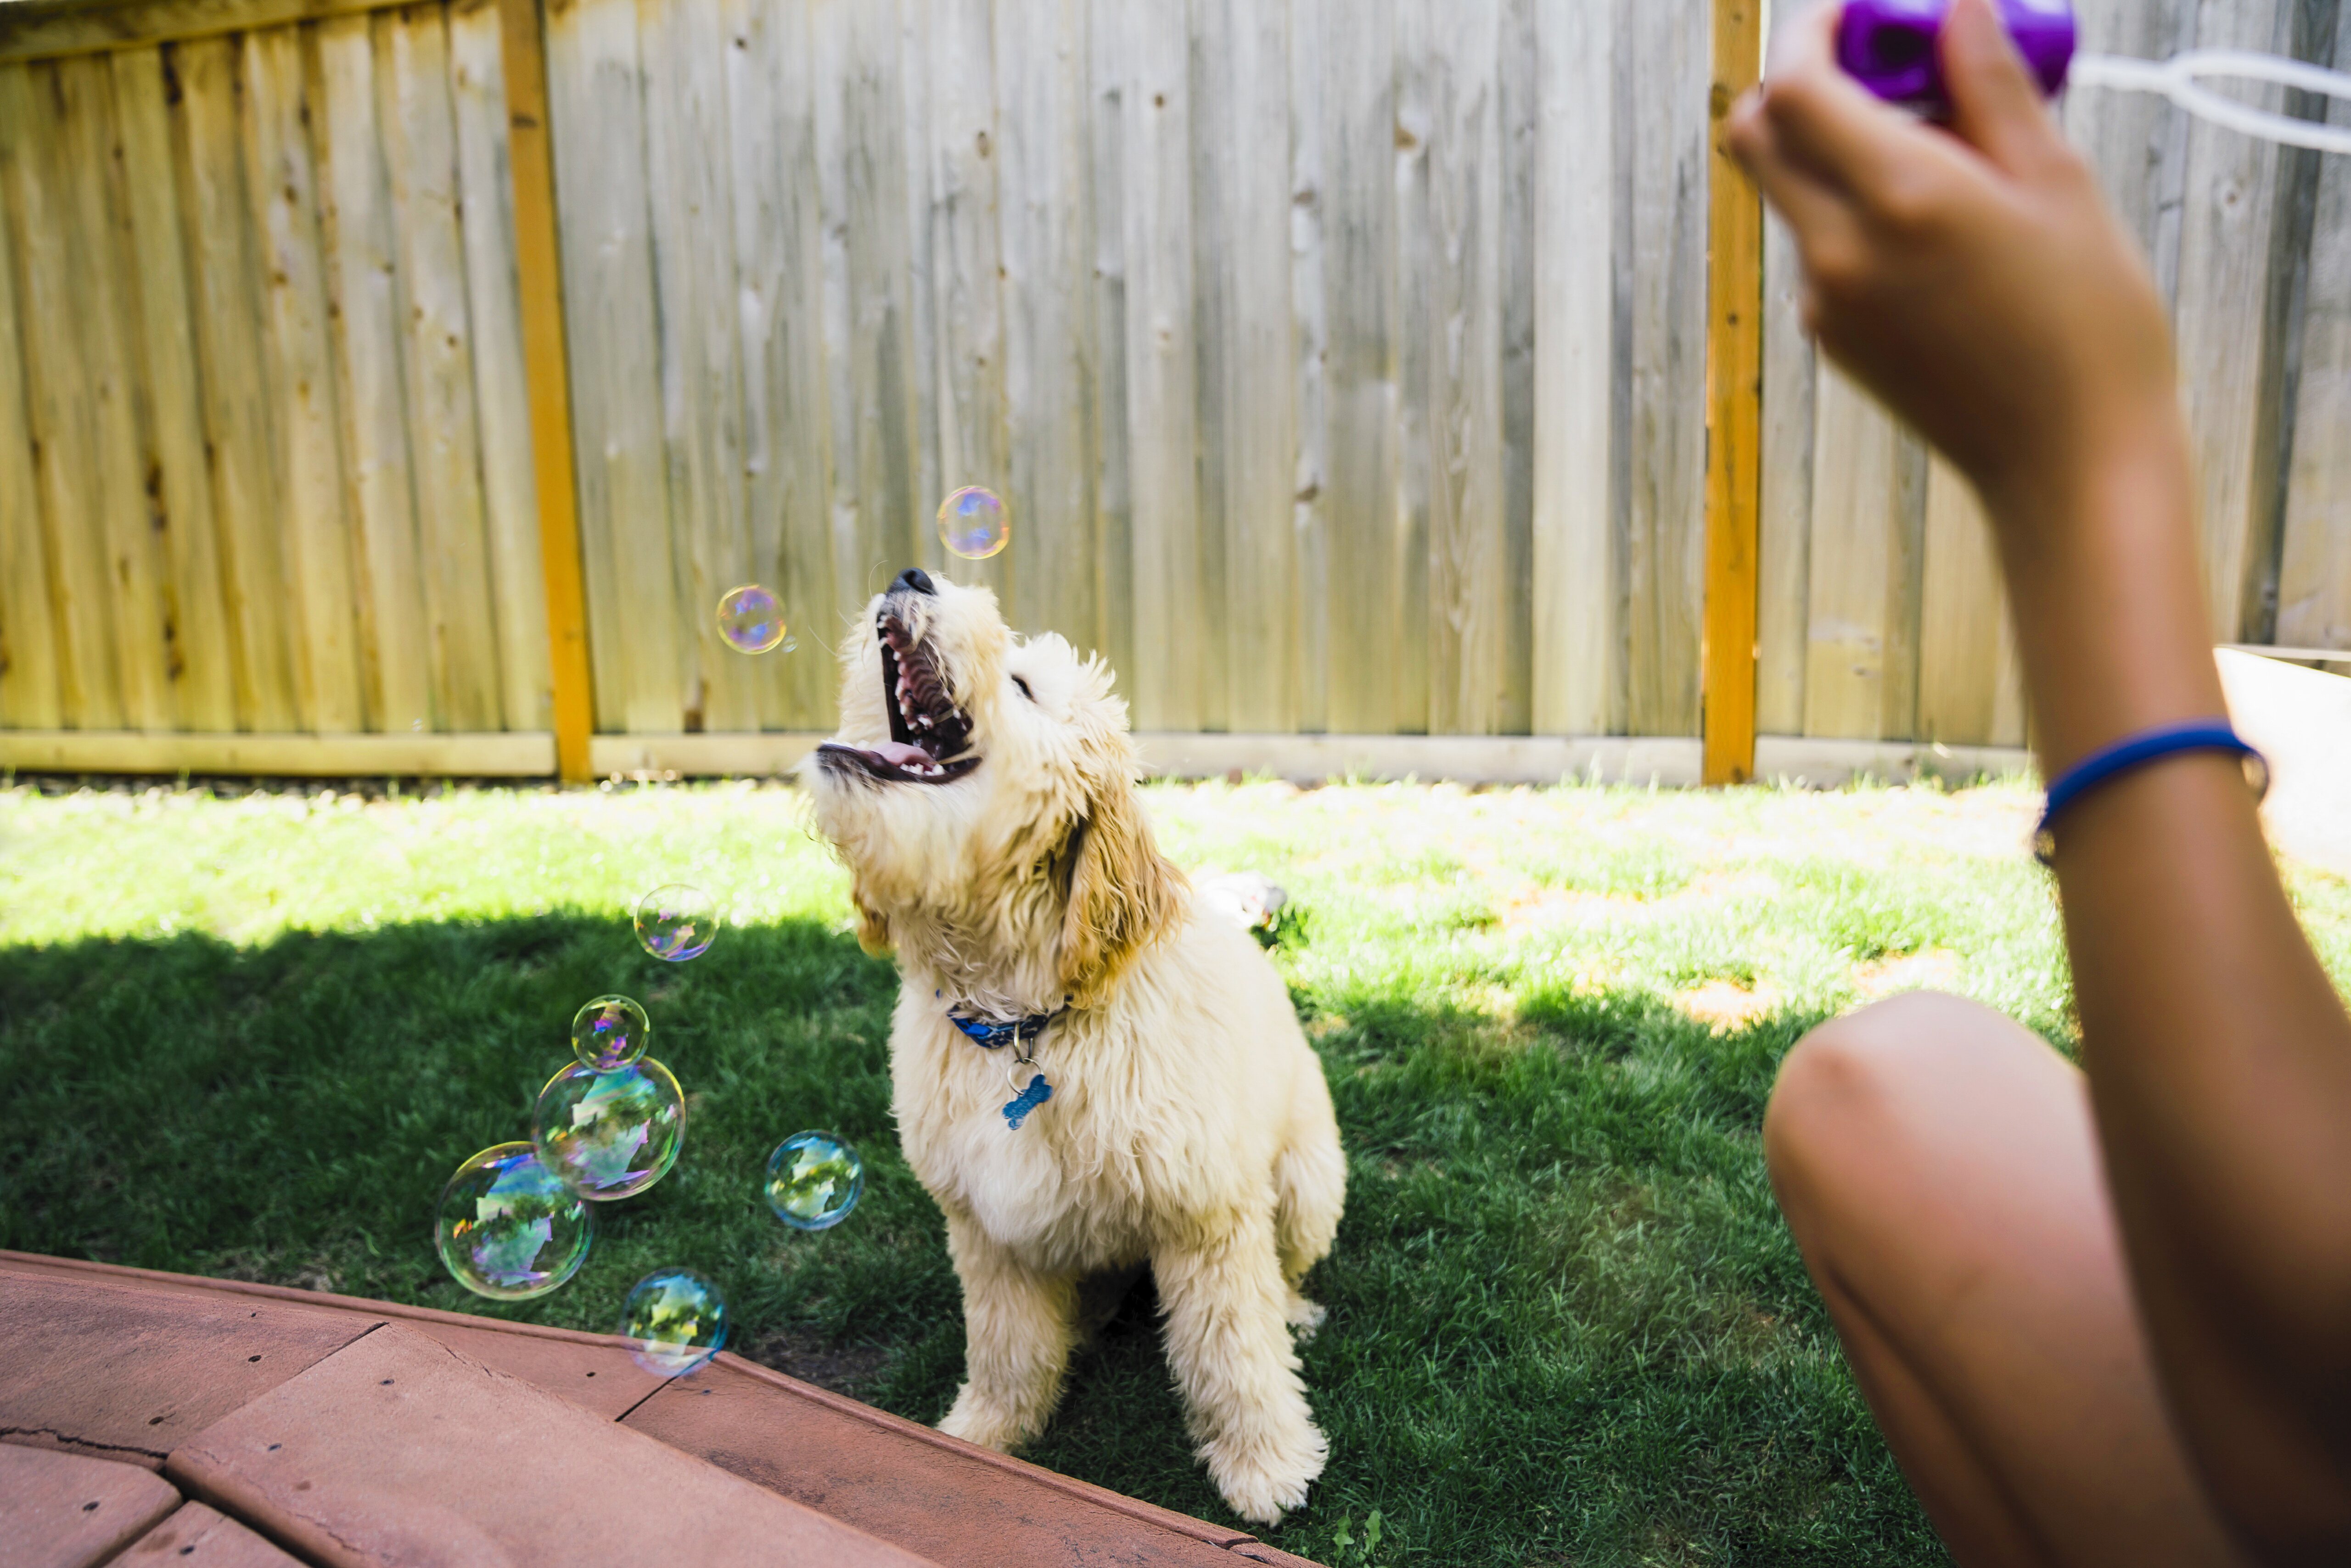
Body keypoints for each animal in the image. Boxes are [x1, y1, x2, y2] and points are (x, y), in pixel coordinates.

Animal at [808, 571, 1354, 1523]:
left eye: (1024, 687)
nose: (912, 577)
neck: (1025, 1021)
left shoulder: (1207, 1217)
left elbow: (1234, 1354)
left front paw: (1265, 1466)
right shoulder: (986, 1227)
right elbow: (1005, 1346)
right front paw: (987, 1434)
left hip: (1307, 1183)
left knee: (1281, 1275)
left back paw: (1293, 1311)